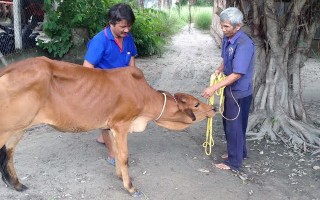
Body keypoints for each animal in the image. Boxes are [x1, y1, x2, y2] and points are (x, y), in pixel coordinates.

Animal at [0, 56, 215, 197]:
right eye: (196, 104)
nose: (213, 107)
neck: (145, 99)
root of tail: (7, 70)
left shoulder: (112, 126)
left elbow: (118, 154)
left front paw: (119, 176)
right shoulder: (121, 124)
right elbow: (124, 156)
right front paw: (130, 187)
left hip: (19, 127)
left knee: (8, 153)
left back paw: (17, 184)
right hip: (7, 128)